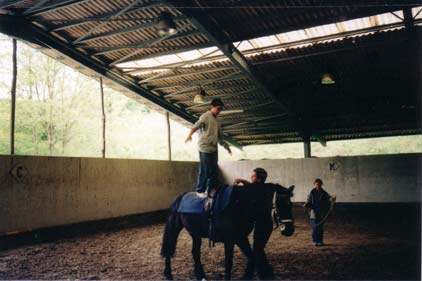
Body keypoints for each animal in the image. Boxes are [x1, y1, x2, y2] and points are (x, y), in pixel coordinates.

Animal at [160, 183, 296, 278]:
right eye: (279, 204)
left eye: (290, 205)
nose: (289, 230)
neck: (239, 205)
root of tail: (179, 198)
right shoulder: (230, 240)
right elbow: (229, 263)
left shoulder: (241, 238)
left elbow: (252, 258)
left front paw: (246, 277)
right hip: (174, 228)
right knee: (169, 248)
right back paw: (168, 273)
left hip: (196, 234)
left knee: (195, 253)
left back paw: (201, 276)